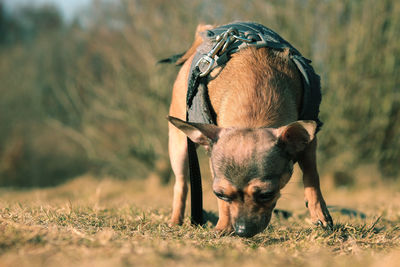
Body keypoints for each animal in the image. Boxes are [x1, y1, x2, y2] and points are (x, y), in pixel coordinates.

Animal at [166, 23, 334, 237]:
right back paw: (175, 220)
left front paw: (319, 214)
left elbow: (312, 175)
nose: (242, 230)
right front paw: (224, 225)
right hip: (180, 148)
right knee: (181, 183)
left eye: (267, 194)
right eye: (219, 193)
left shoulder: (309, 142)